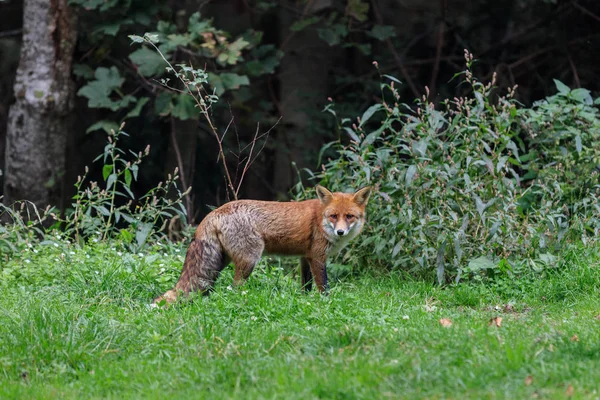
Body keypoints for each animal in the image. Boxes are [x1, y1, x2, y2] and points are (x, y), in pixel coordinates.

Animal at [155, 186, 370, 304]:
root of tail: (215, 211)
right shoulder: (317, 257)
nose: (340, 232)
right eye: (333, 216)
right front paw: (325, 302)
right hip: (249, 260)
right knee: (235, 286)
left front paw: (305, 301)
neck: (320, 220)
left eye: (349, 216)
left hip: (220, 262)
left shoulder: (305, 257)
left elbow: (306, 286)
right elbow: (323, 286)